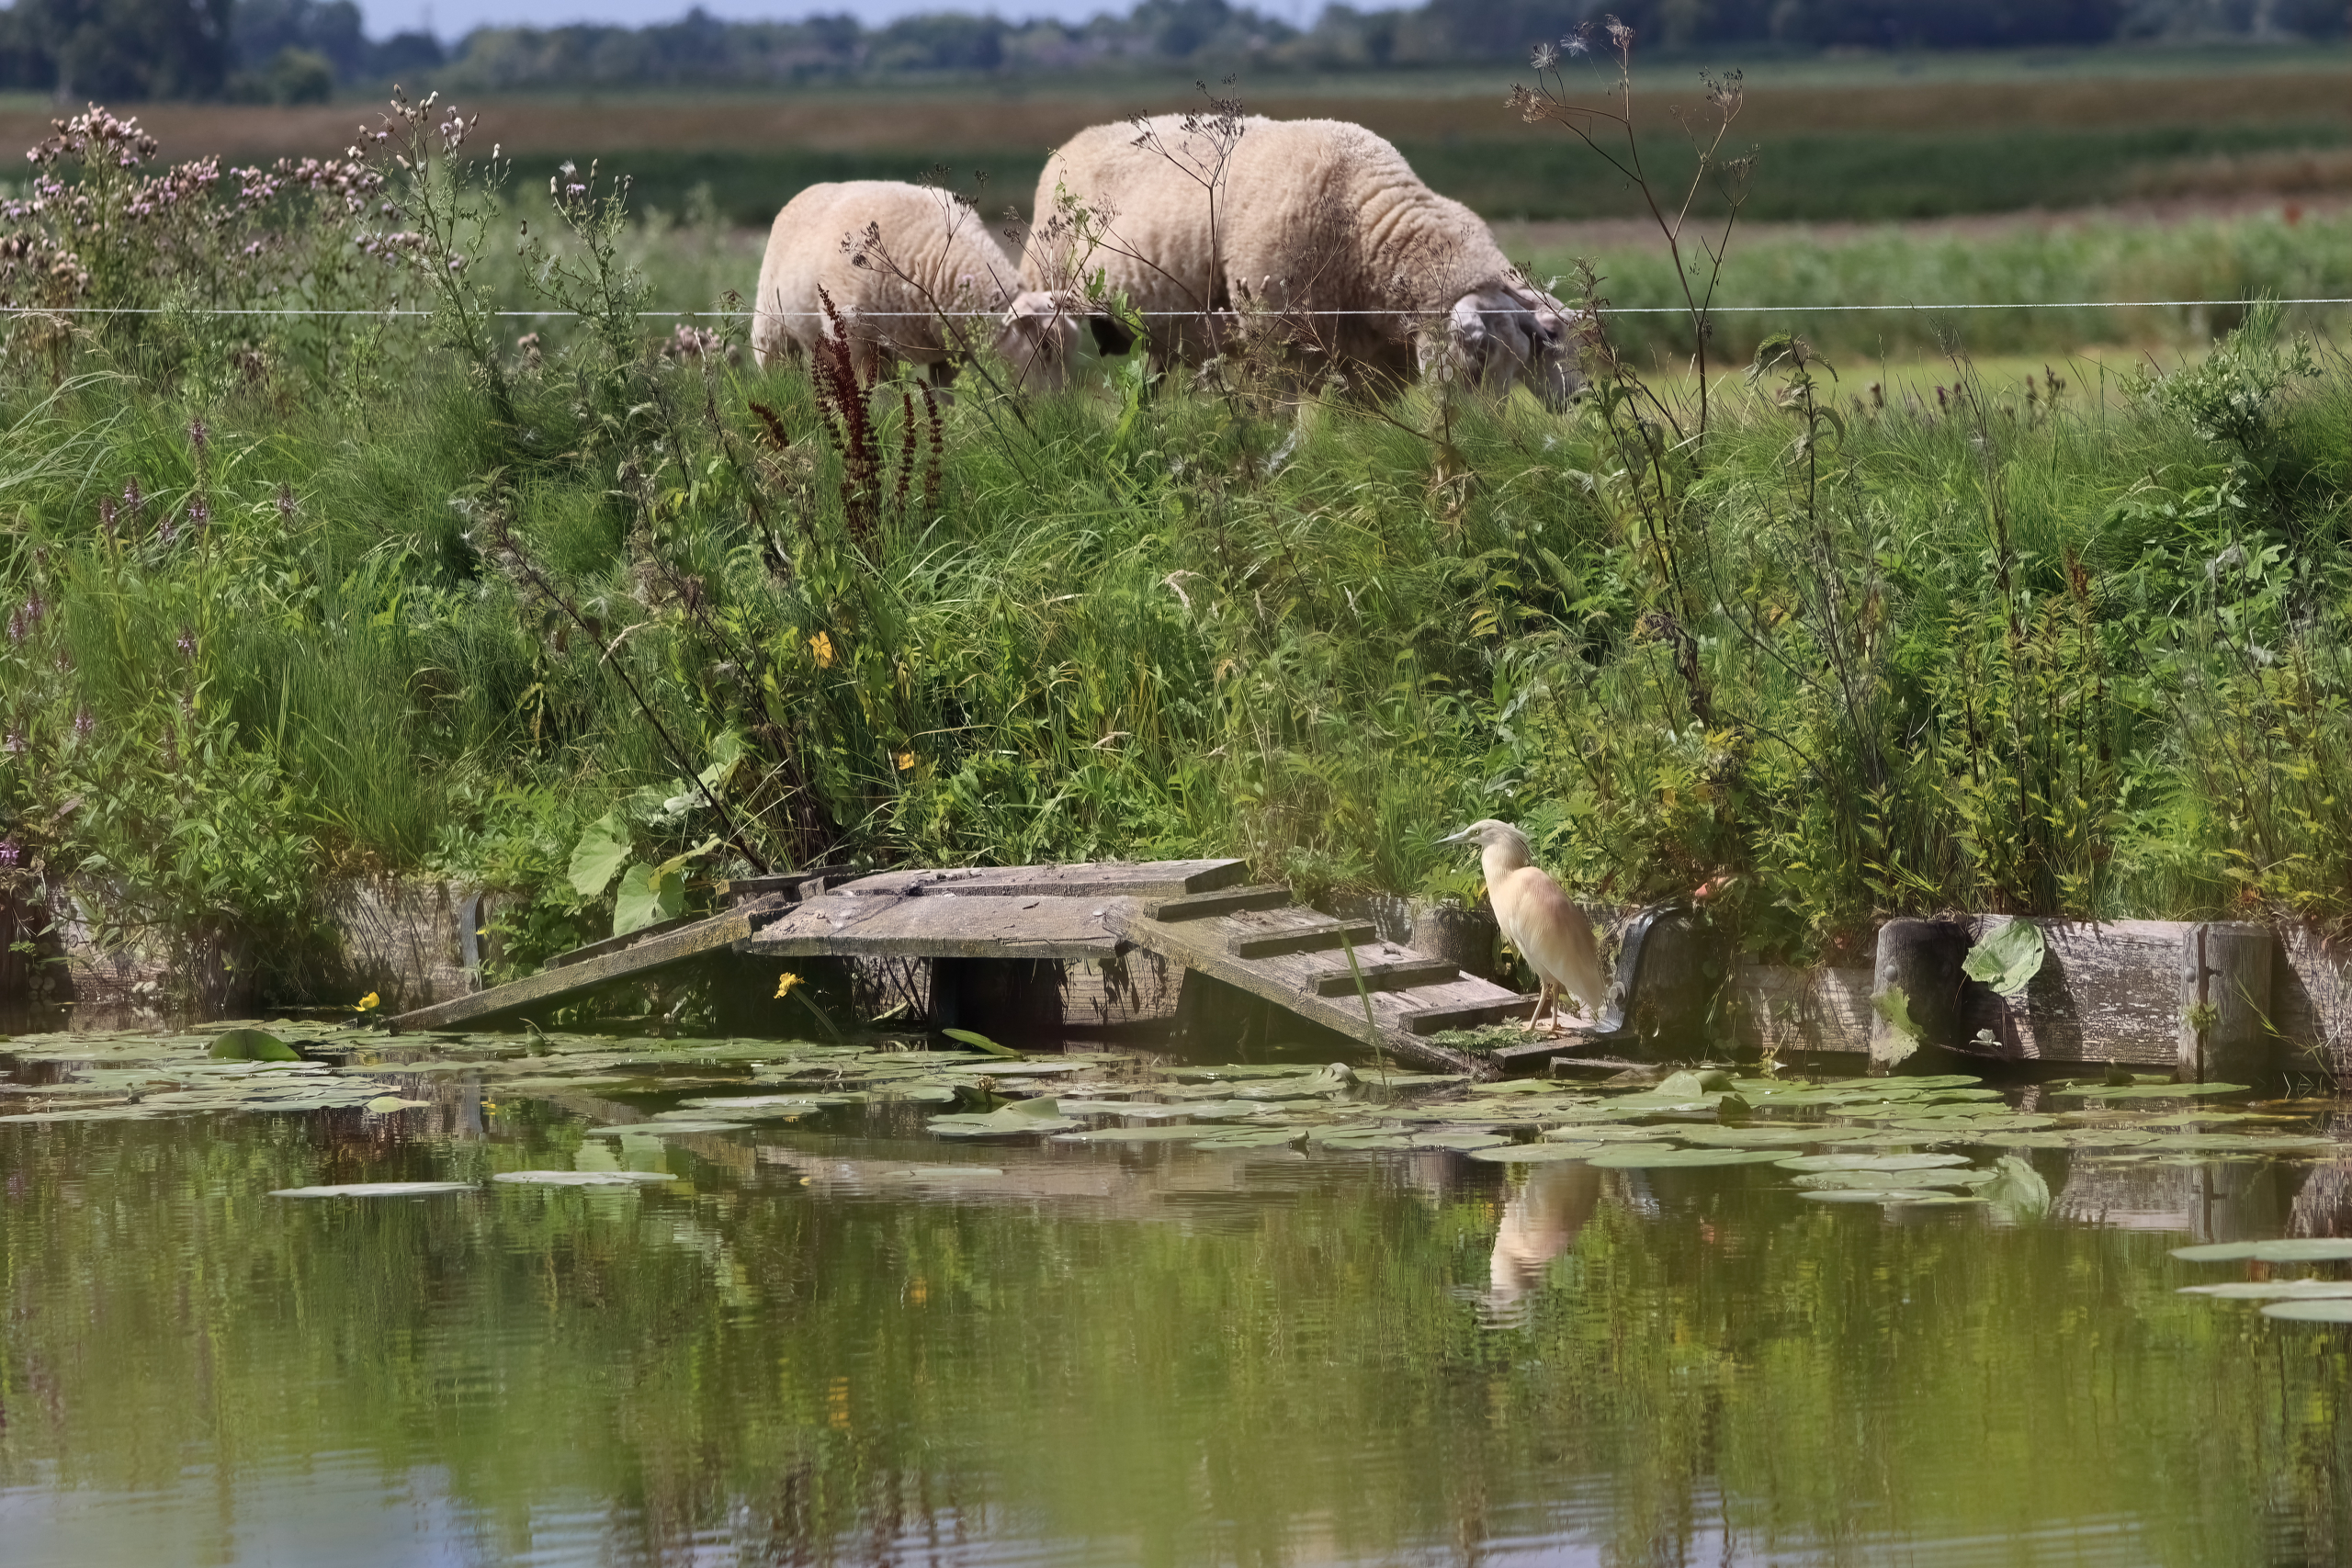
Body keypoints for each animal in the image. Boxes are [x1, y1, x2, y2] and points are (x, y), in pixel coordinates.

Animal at [752, 181, 1077, 392]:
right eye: (1045, 348)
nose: (1060, 407)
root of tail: (806, 191)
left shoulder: (947, 353)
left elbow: (942, 395)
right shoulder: (855, 339)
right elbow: (871, 392)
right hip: (772, 323)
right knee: (773, 360)